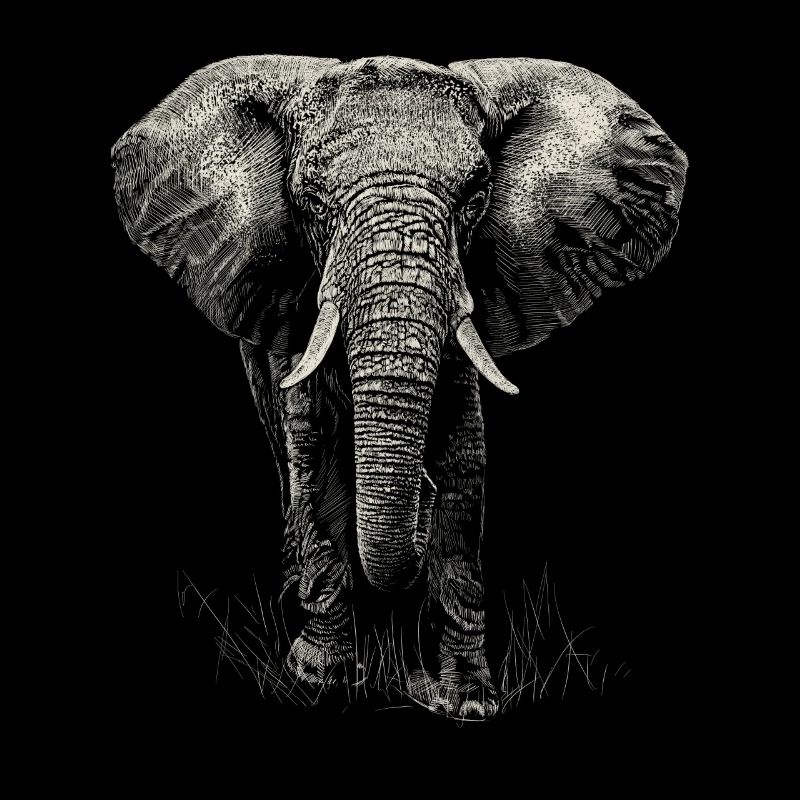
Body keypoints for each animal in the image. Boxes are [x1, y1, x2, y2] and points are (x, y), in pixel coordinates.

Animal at [112, 55, 687, 719]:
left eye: (476, 198)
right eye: (309, 204)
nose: (419, 500)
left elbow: (465, 456)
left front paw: (466, 700)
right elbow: (312, 442)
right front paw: (321, 680)